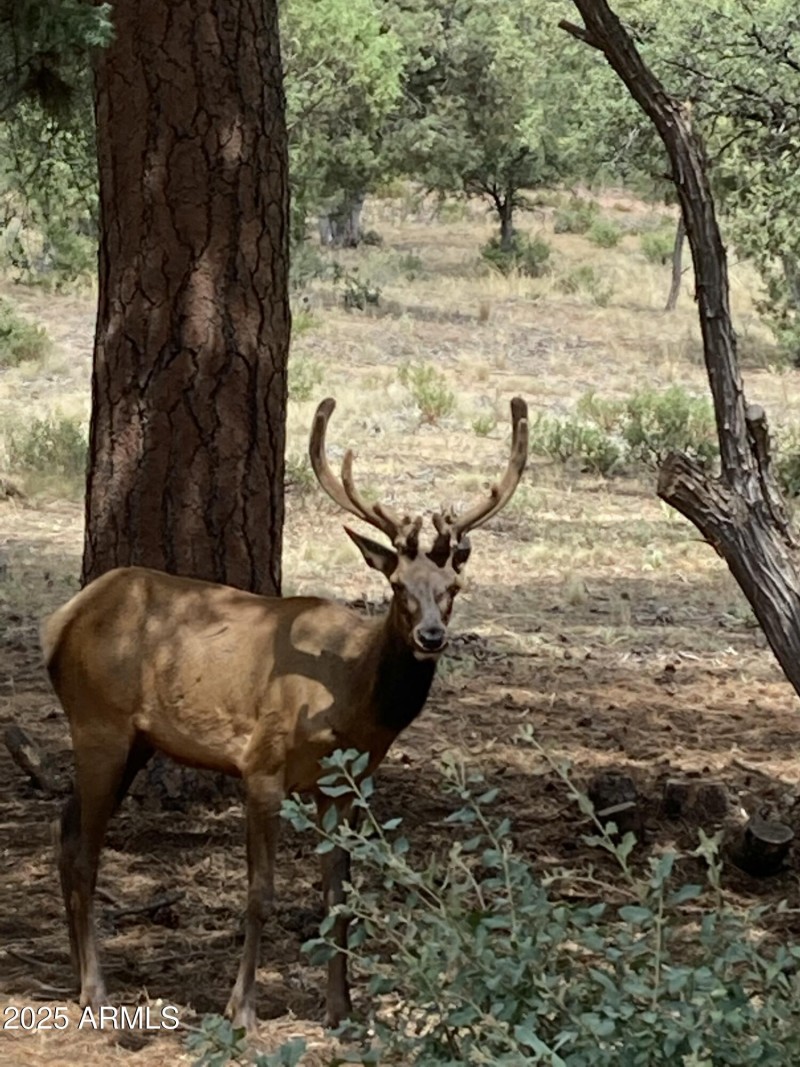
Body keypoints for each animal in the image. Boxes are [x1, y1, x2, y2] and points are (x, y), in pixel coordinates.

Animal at [41, 395, 528, 1032]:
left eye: (454, 585)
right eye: (398, 584)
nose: (431, 636)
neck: (350, 700)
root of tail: (60, 624)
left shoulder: (345, 785)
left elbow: (339, 895)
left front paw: (342, 1009)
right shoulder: (261, 764)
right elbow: (260, 893)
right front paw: (241, 1009)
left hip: (134, 741)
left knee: (65, 828)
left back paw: (79, 982)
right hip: (99, 722)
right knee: (82, 848)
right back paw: (96, 990)